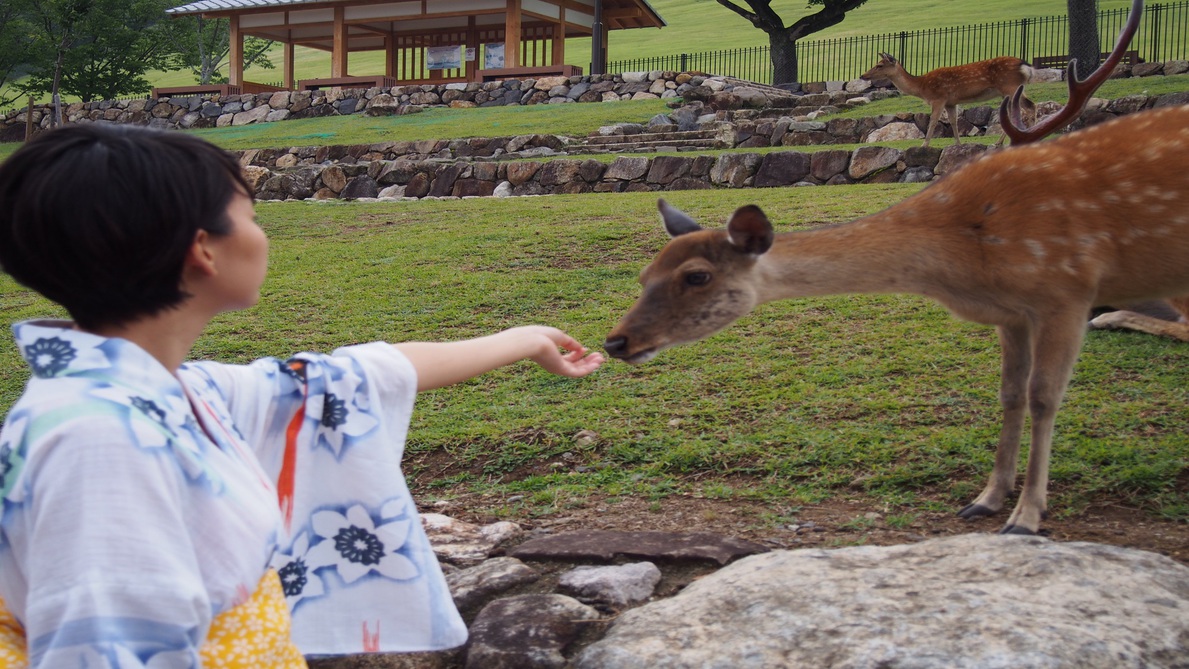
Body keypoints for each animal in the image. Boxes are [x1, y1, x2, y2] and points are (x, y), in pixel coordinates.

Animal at [860, 52, 1036, 147]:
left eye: (879, 65)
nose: (863, 75)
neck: (922, 87)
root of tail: (1025, 65)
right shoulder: (951, 102)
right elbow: (953, 121)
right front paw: (958, 144)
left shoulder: (939, 98)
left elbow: (933, 121)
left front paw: (924, 144)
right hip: (1013, 89)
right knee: (1028, 107)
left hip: (1010, 86)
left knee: (1027, 108)